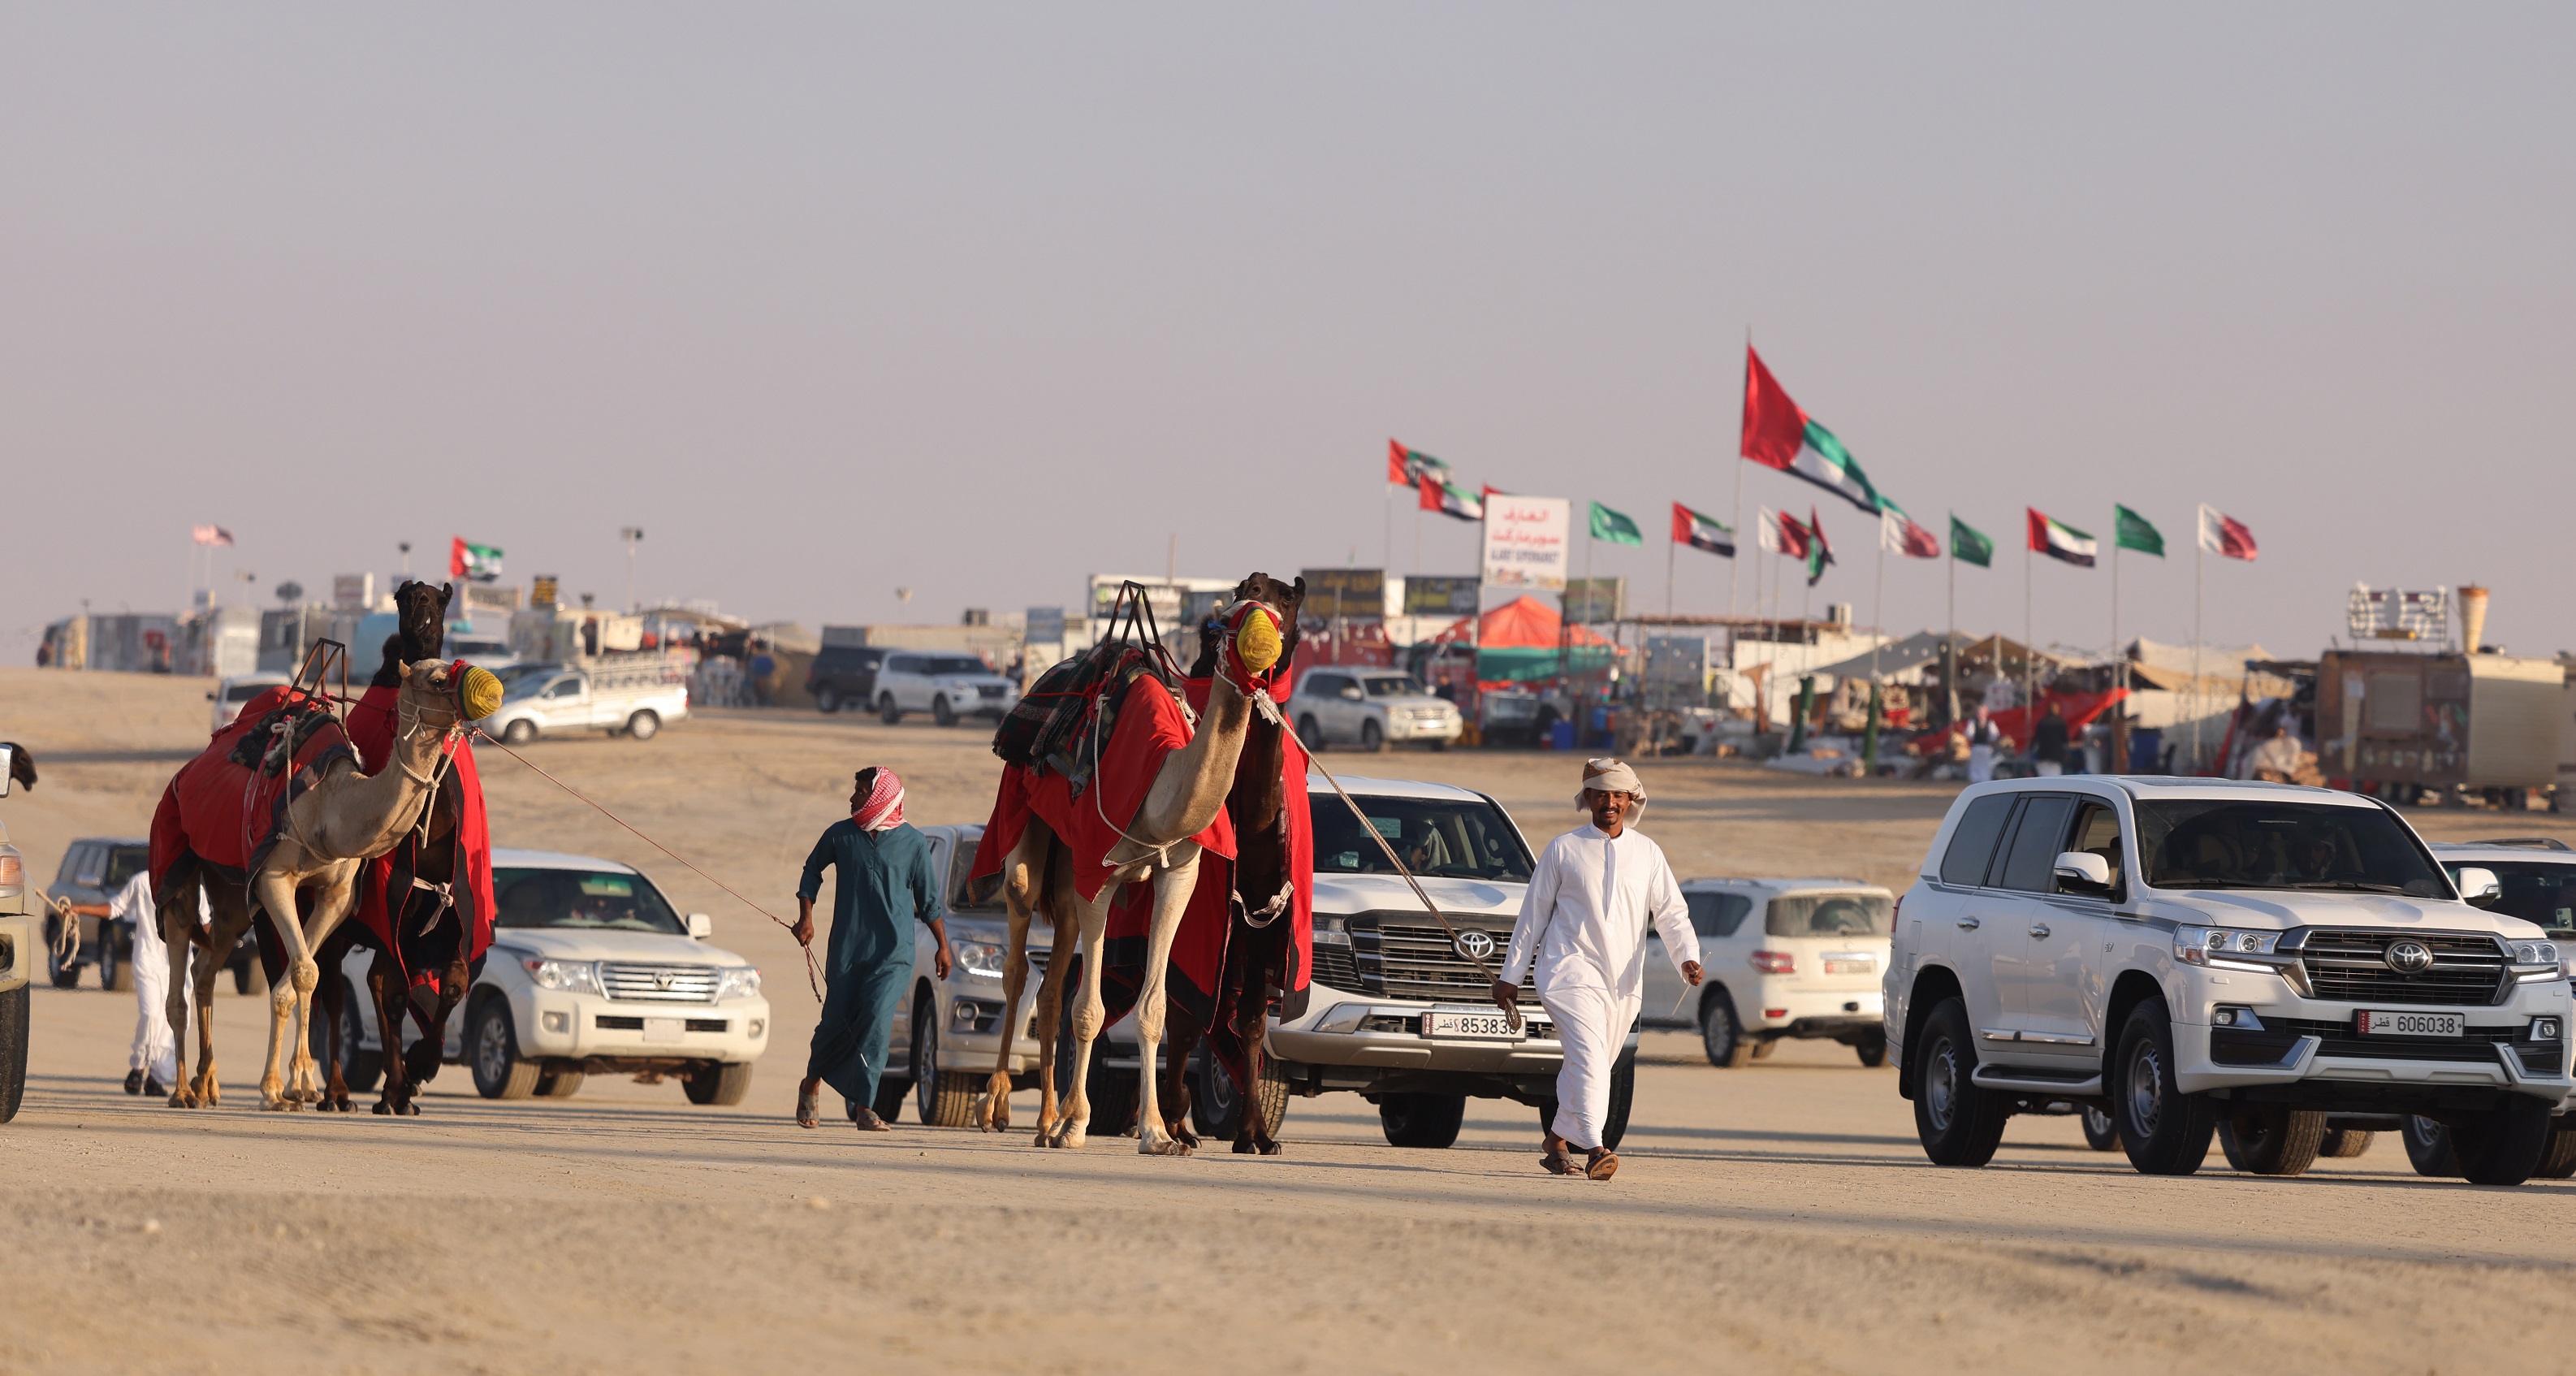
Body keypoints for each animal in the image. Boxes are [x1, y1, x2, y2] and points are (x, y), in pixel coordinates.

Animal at [974, 572, 1308, 1154]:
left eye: (1283, 604)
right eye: (1234, 610)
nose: (1258, 652)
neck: (1157, 792)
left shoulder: (1180, 874)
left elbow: (1153, 1011)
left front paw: (1156, 1133)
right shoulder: (1098, 875)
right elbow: (1091, 1011)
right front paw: (1080, 1126)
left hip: (1069, 875)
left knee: (1053, 985)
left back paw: (1046, 1120)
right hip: (1028, 836)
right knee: (1019, 959)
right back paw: (999, 1106)